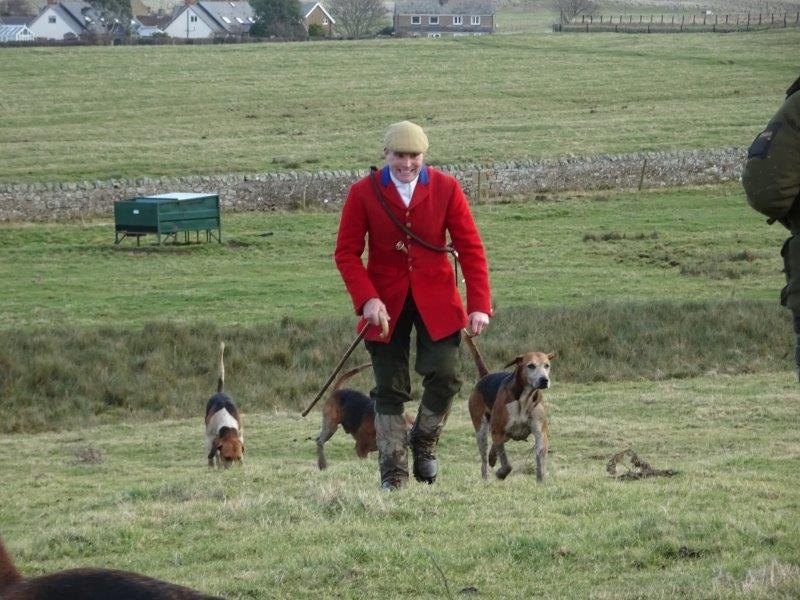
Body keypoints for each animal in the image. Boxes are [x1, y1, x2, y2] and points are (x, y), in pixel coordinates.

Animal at [464, 331, 555, 481]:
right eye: (531, 366)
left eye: (547, 365)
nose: (544, 380)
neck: (524, 398)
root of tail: (486, 376)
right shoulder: (498, 430)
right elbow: (507, 464)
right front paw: (501, 473)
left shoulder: (540, 432)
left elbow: (540, 462)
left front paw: (541, 481)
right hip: (482, 431)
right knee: (484, 460)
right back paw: (486, 476)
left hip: (504, 434)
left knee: (494, 447)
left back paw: (492, 457)